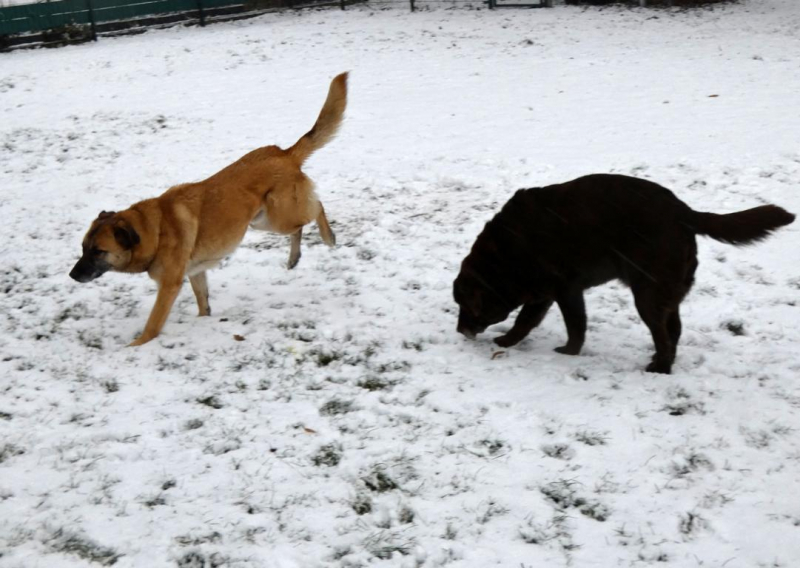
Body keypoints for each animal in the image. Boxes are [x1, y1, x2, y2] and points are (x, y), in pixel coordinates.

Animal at [69, 72, 348, 346]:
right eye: (83, 248)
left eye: (98, 251)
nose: (72, 275)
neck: (154, 230)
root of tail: (285, 154)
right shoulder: (196, 272)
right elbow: (203, 303)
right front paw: (204, 322)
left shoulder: (169, 286)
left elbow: (153, 325)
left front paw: (135, 347)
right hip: (261, 221)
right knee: (300, 226)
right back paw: (294, 258)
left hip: (279, 217)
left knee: (316, 208)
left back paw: (328, 237)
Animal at [453, 173, 795, 374]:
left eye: (464, 304)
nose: (459, 330)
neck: (504, 254)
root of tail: (684, 213)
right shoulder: (548, 293)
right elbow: (529, 321)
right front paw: (510, 341)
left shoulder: (564, 289)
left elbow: (567, 324)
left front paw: (567, 353)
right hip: (665, 293)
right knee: (674, 330)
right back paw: (661, 362)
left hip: (647, 294)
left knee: (664, 336)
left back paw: (659, 369)